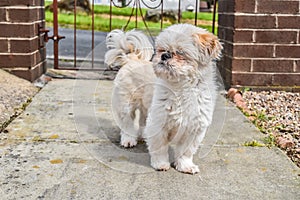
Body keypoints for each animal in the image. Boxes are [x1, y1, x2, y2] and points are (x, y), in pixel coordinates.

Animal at [144, 23, 221, 173]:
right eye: (162, 49)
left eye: (180, 52)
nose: (165, 55)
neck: (182, 88)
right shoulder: (157, 124)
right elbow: (159, 147)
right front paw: (160, 163)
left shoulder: (195, 129)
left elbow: (186, 151)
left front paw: (185, 166)